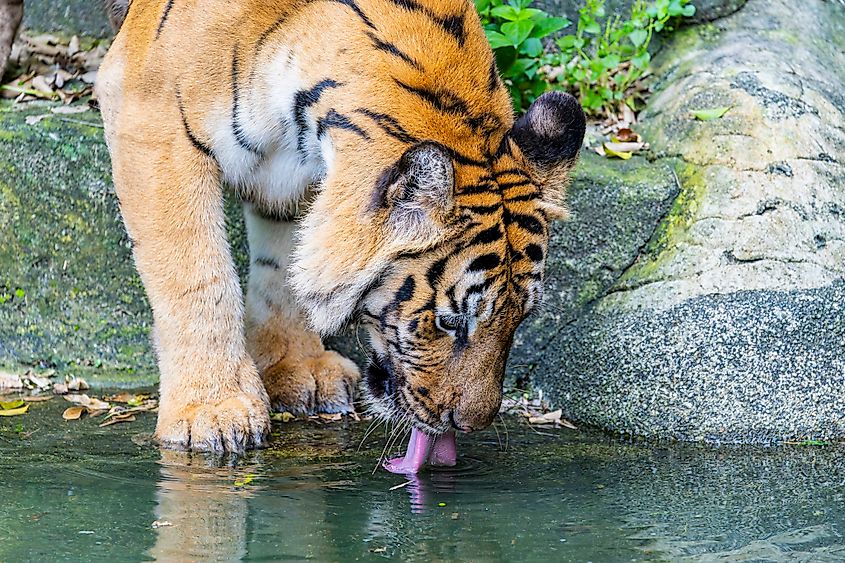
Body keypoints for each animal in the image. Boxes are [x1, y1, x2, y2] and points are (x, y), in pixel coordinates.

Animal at [97, 0, 585, 456]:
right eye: (449, 322)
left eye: (521, 318)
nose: (469, 425)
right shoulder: (153, 119)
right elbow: (196, 277)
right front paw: (212, 411)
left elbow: (286, 266)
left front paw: (299, 366)